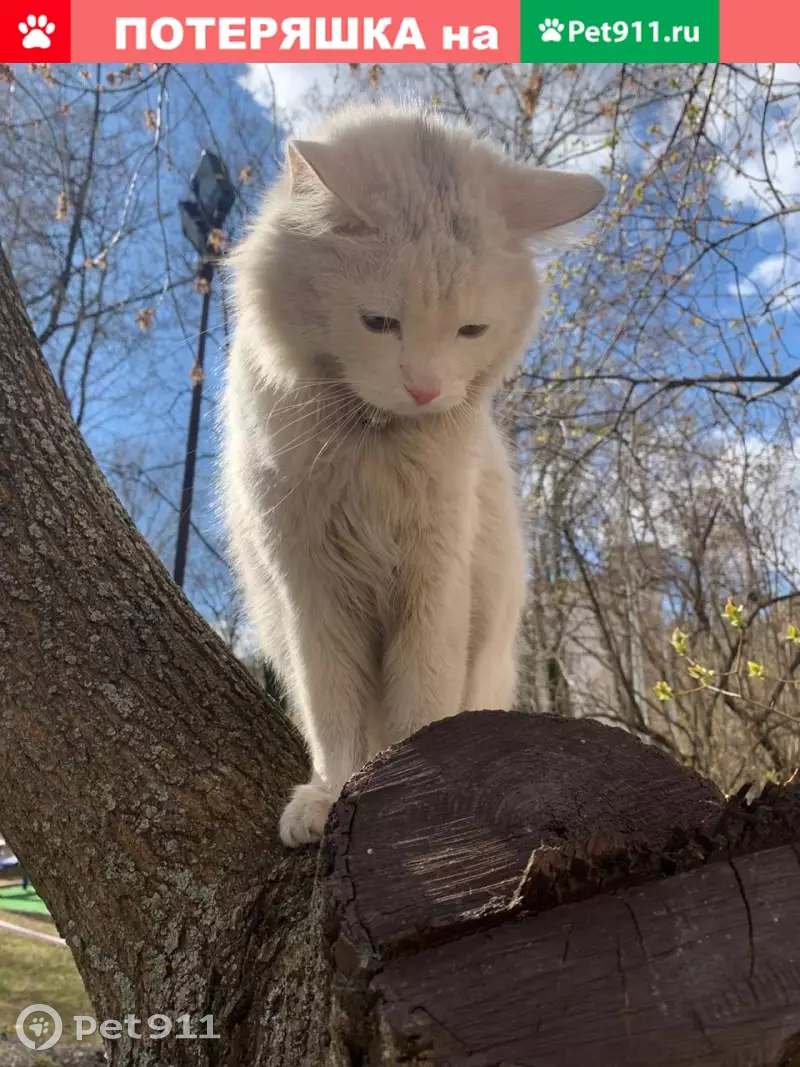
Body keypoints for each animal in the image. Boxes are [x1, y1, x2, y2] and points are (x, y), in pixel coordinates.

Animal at [222, 104, 605, 845]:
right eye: (379, 322)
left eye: (471, 330)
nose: (425, 390)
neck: (374, 446)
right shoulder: (312, 591)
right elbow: (333, 713)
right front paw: (330, 795)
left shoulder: (433, 580)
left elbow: (420, 704)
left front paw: (407, 785)